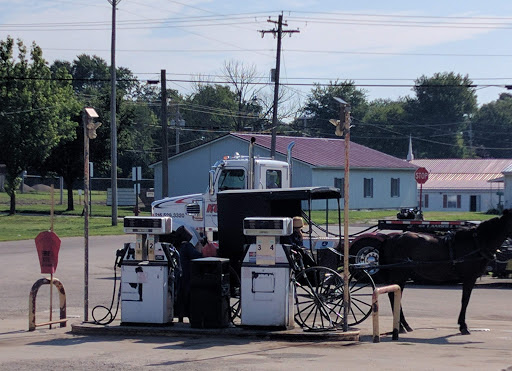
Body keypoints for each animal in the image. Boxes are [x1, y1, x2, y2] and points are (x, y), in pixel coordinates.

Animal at [380, 209, 512, 338]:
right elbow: (465, 300)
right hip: (399, 273)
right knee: (394, 295)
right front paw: (463, 326)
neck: (477, 243)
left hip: (403, 274)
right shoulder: (469, 277)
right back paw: (401, 326)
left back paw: (404, 325)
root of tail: (392, 238)